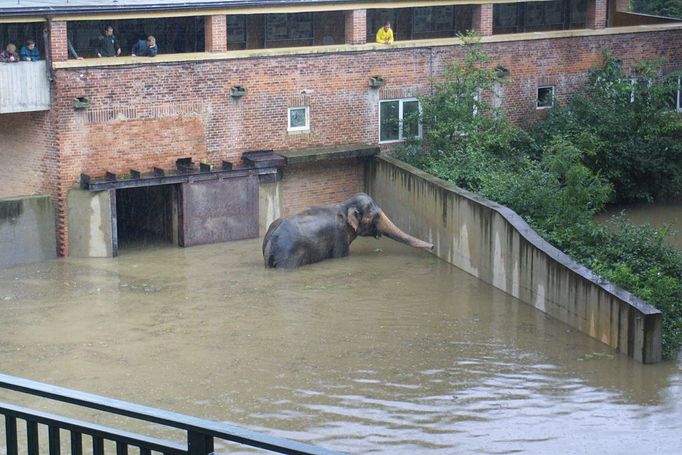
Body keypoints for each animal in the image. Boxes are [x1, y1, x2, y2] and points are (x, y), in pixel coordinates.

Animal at [260, 191, 430, 268]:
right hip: (288, 257)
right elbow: (340, 255)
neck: (344, 204)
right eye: (374, 215)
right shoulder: (339, 235)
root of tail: (270, 239)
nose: (433, 246)